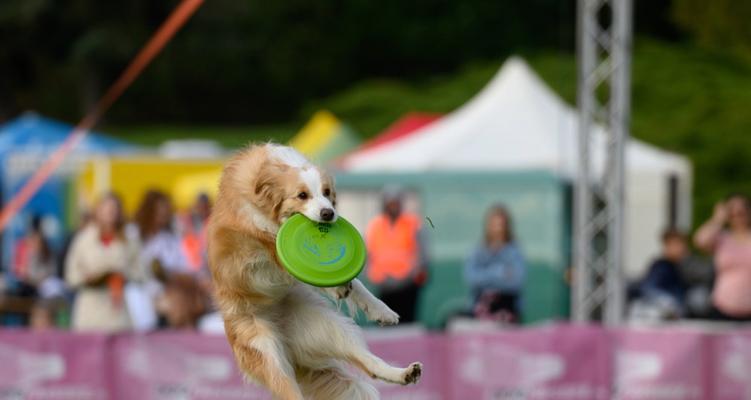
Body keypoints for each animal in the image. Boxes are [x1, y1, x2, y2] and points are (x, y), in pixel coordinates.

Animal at [209, 144, 424, 400]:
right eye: (302, 195)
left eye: (326, 192)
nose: (328, 213)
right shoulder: (265, 244)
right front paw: (339, 288)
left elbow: (357, 284)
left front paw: (381, 309)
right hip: (269, 356)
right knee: (290, 390)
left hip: (329, 329)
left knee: (368, 363)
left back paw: (405, 373)